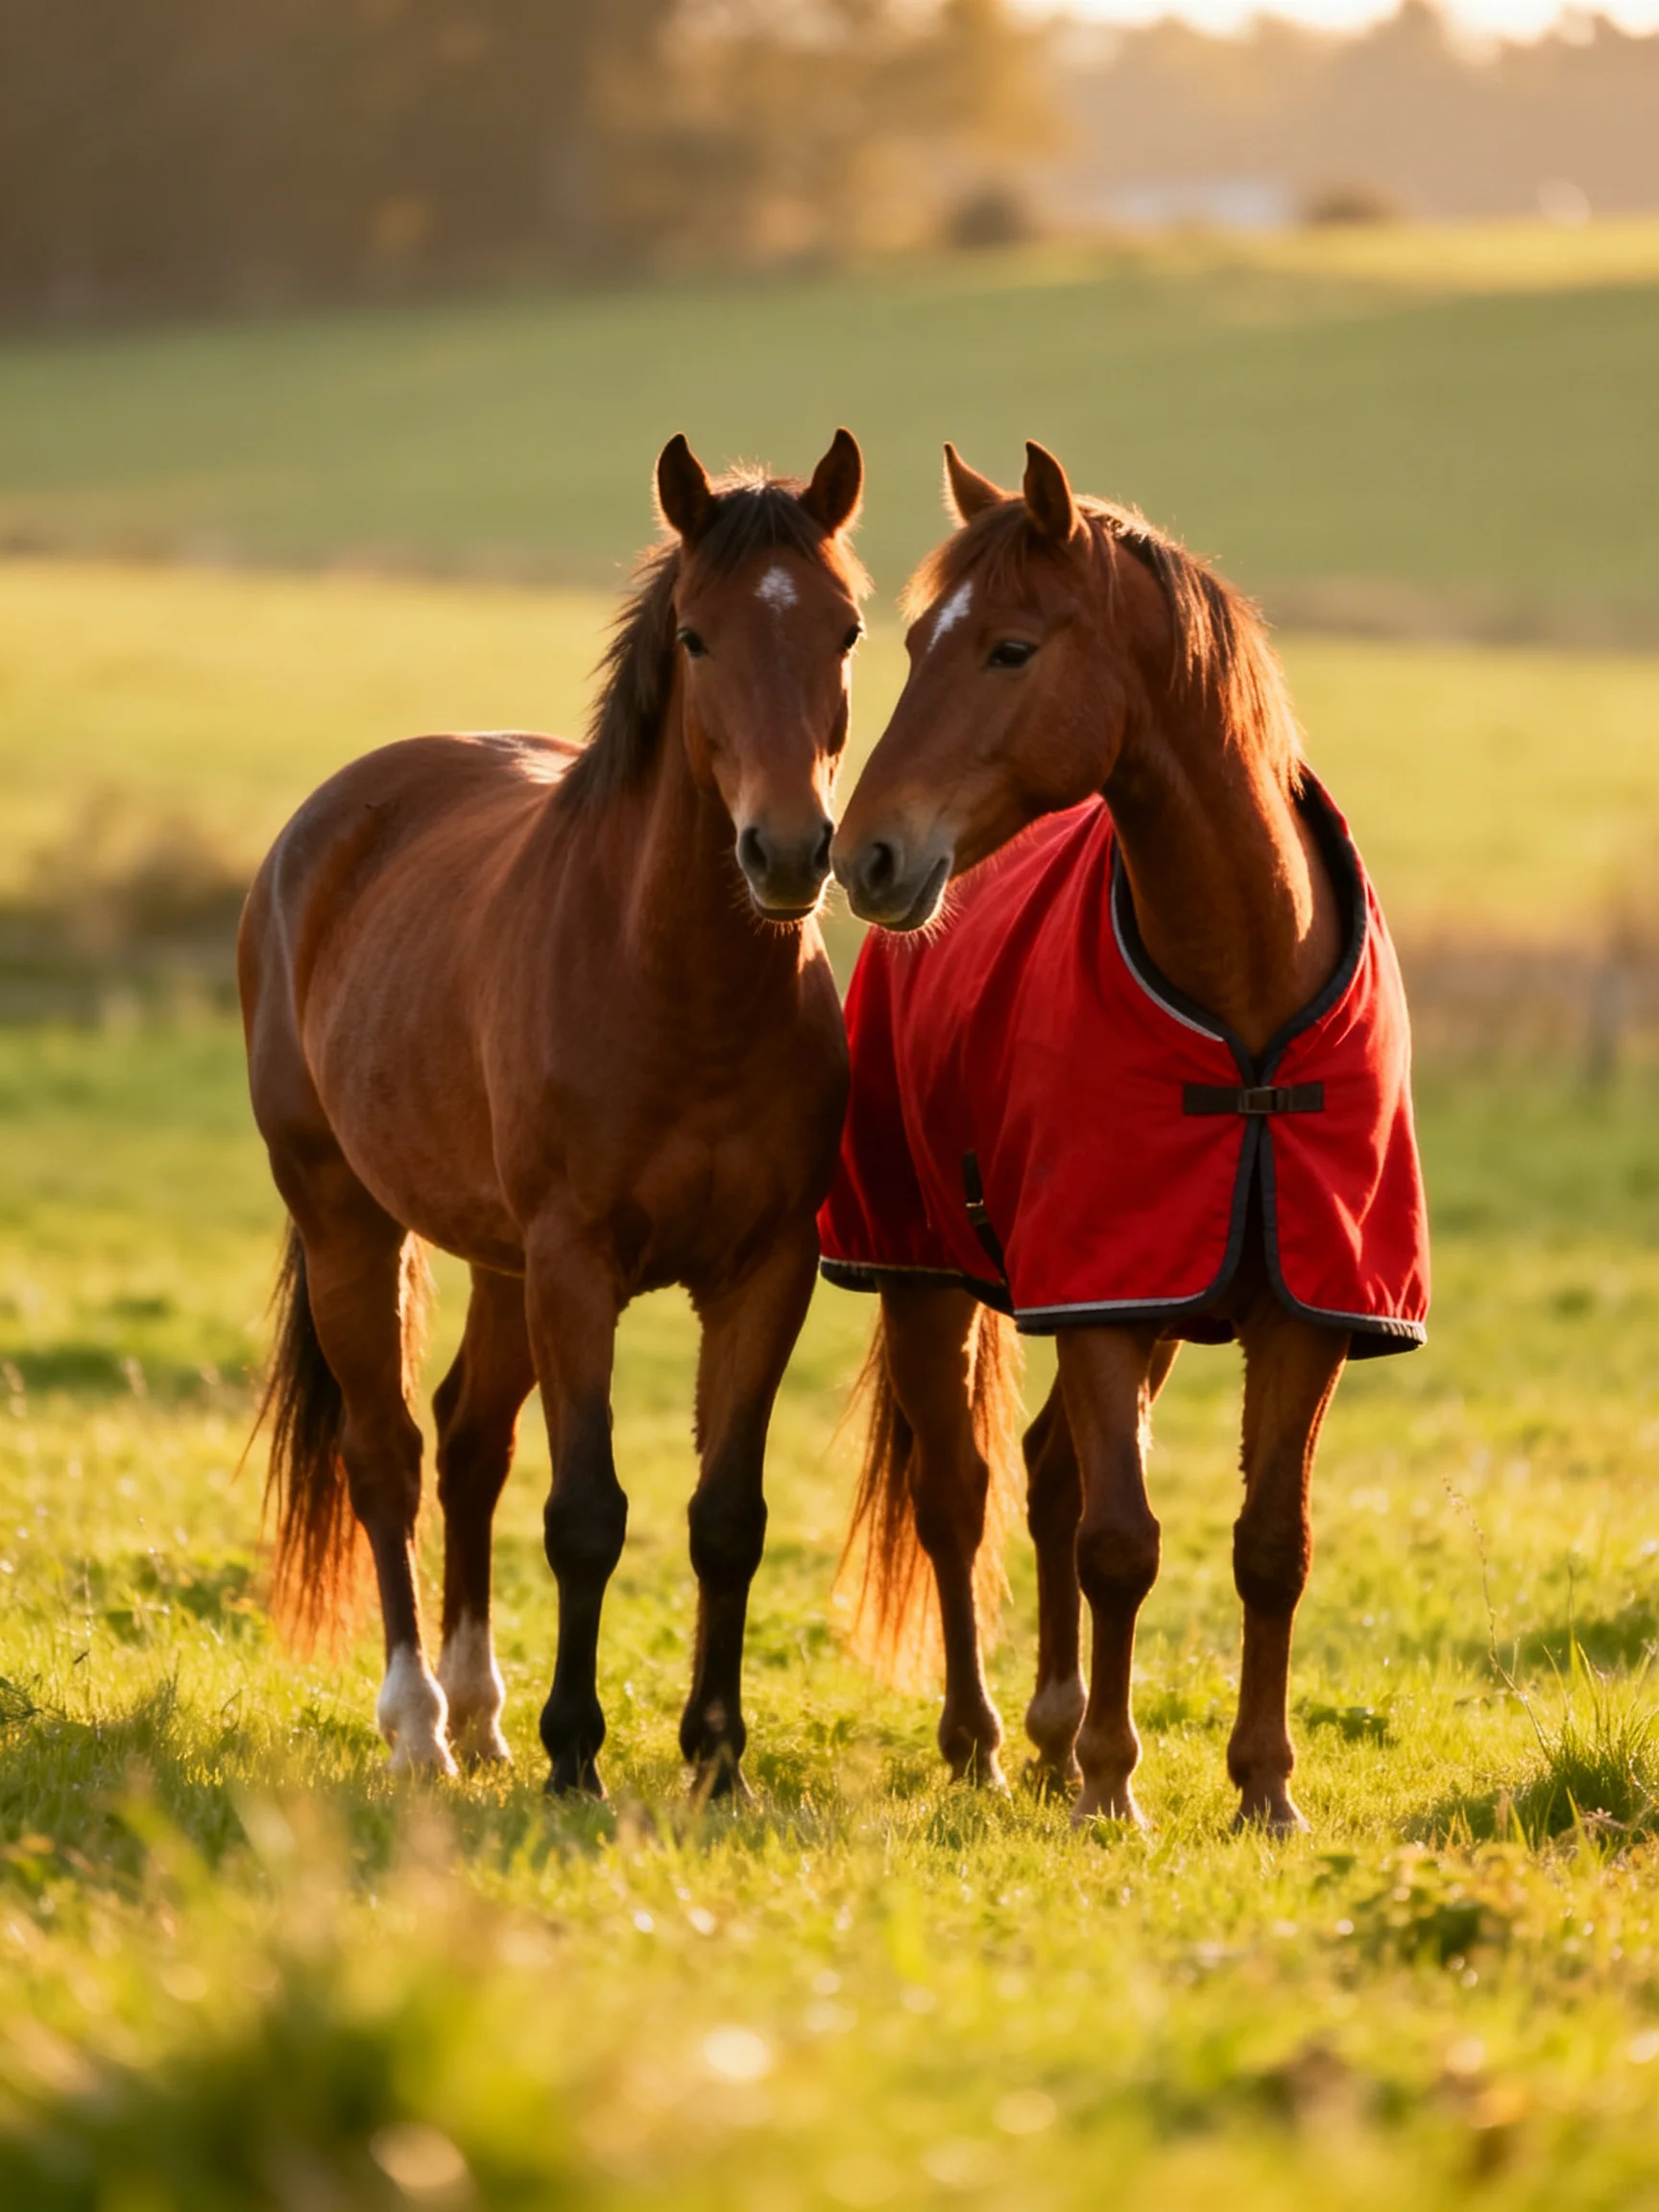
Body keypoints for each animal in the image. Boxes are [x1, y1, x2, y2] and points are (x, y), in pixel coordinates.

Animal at [239, 430, 866, 1795]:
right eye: (695, 636)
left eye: (847, 629)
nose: (789, 852)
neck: (675, 987)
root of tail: (327, 823)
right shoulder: (578, 1262)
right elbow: (587, 1514)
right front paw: (576, 1755)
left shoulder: (764, 1271)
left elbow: (724, 1520)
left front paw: (716, 1761)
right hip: (350, 1224)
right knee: (388, 1456)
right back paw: (420, 1725)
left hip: (499, 1262)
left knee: (469, 1439)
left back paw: (477, 1712)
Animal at [821, 441, 1428, 1832]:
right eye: (914, 640)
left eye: (1009, 649)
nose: (863, 855)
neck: (1244, 989)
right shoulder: (1094, 1293)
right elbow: (1120, 1542)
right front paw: (1114, 1781)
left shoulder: (1300, 1310)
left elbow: (1270, 1546)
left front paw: (1264, 1790)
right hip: (926, 1277)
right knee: (963, 1500)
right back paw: (990, 1740)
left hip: (1149, 1310)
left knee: (1050, 1474)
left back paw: (1049, 1735)